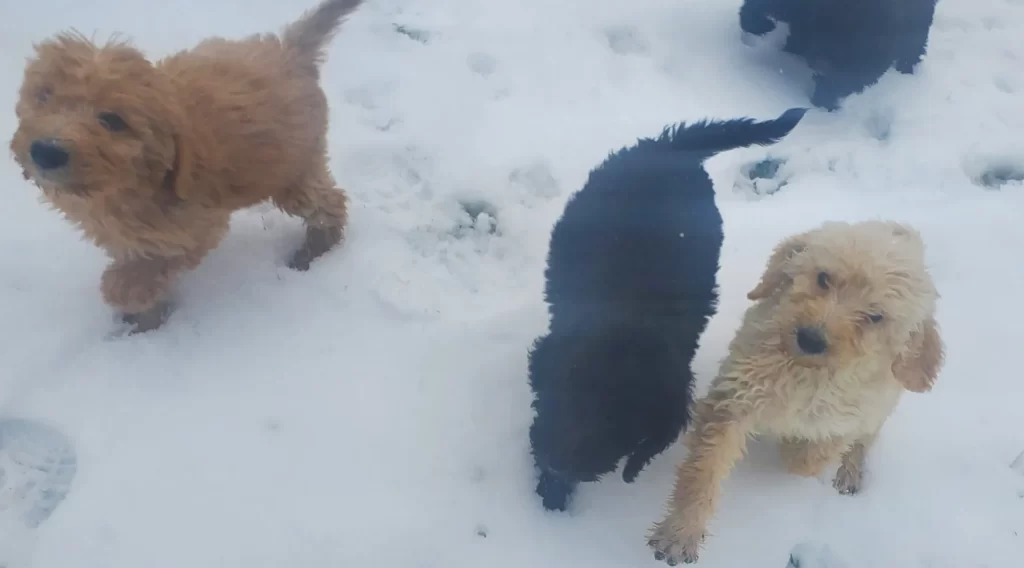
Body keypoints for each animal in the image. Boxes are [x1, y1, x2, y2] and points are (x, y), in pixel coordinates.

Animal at [9, 0, 364, 333]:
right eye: (44, 96)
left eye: (112, 120)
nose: (46, 151)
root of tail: (290, 49)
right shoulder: (126, 235)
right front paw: (145, 321)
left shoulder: (194, 226)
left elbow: (143, 272)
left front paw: (126, 294)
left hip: (293, 170)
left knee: (329, 203)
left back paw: (314, 250)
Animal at [528, 105, 806, 511]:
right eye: (570, 392)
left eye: (620, 426)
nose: (558, 462)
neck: (630, 320)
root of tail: (672, 148)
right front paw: (551, 488)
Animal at [647, 221, 942, 564]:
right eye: (823, 278)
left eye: (875, 316)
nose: (811, 338)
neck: (805, 372)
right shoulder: (733, 398)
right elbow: (704, 469)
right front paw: (681, 531)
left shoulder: (846, 419)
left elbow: (808, 459)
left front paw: (792, 442)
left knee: (865, 438)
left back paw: (850, 470)